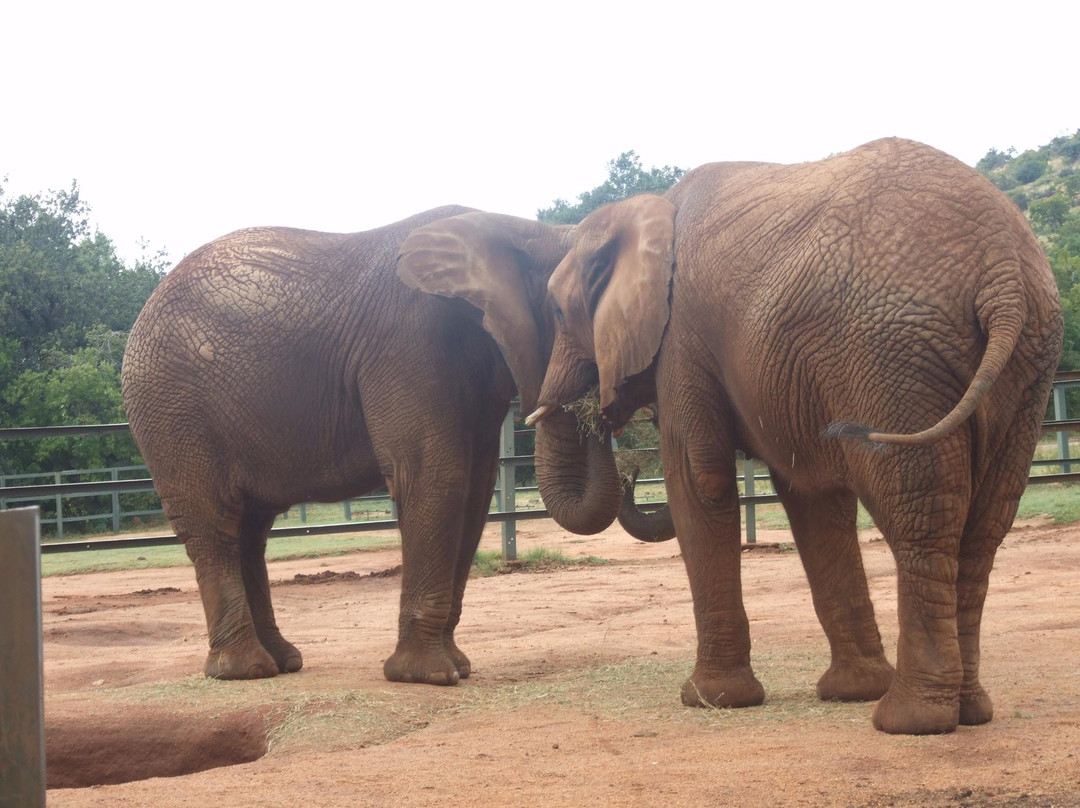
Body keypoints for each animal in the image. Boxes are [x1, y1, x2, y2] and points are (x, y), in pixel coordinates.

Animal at [121, 205, 577, 685]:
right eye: (565, 313)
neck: (521, 231)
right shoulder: (407, 344)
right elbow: (433, 475)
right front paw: (428, 676)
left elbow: (475, 487)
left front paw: (459, 668)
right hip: (174, 412)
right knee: (216, 523)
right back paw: (246, 670)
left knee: (250, 528)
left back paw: (283, 662)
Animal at [524, 138, 1063, 735]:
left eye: (556, 311)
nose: (625, 459)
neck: (646, 212)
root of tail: (1004, 274)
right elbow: (812, 498)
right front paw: (849, 691)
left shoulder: (682, 335)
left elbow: (700, 479)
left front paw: (708, 700)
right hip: (1028, 361)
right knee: (985, 525)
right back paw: (968, 712)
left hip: (893, 357)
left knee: (919, 516)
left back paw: (909, 721)